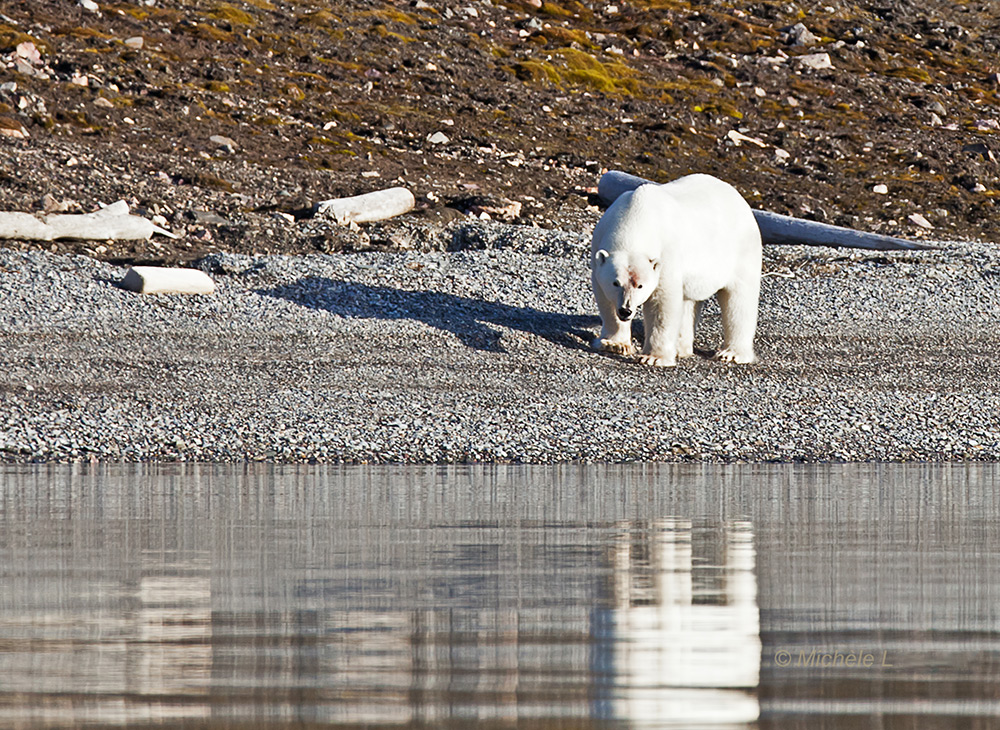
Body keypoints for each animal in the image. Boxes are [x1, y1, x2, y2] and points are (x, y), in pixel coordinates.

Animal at [588, 174, 760, 366]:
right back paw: (680, 348)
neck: (635, 217)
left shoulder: (666, 255)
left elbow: (662, 303)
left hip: (741, 251)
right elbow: (605, 299)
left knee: (738, 300)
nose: (626, 310)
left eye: (640, 285)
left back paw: (731, 353)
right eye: (615, 283)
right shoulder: (599, 246)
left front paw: (653, 358)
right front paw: (614, 344)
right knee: (689, 302)